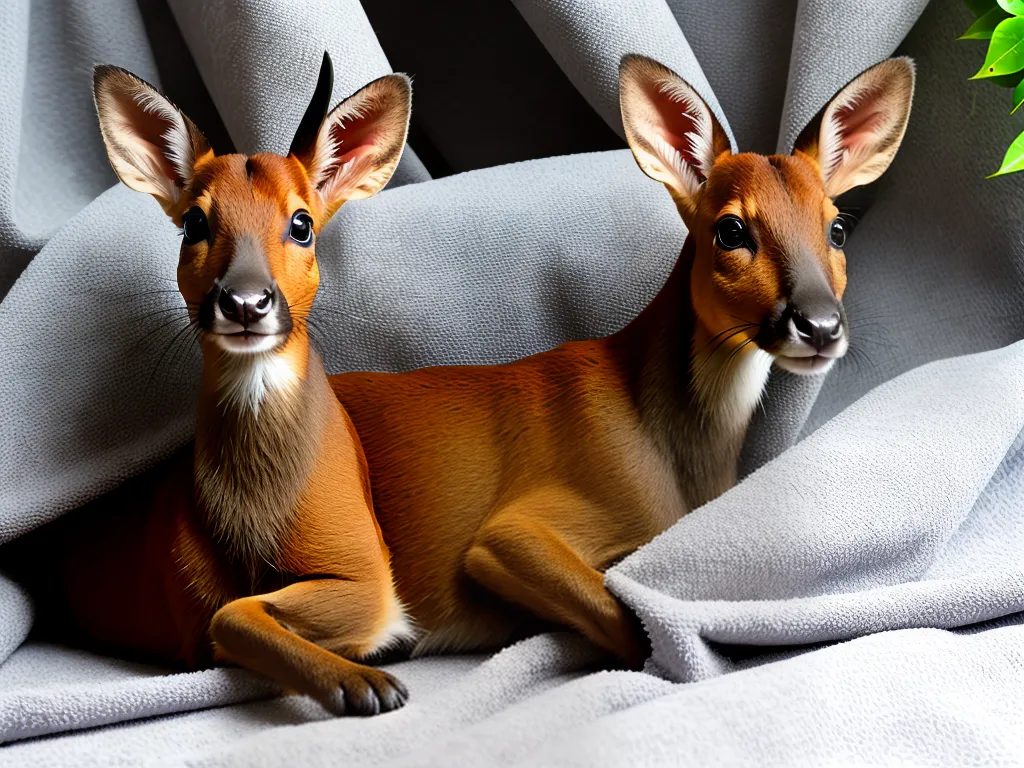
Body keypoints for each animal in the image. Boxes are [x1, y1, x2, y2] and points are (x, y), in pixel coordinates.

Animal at [3, 54, 416, 716]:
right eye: (194, 221)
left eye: (302, 222)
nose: (245, 301)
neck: (257, 515)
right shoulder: (189, 610)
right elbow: (229, 616)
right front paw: (361, 682)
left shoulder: (365, 564)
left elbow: (246, 612)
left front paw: (368, 675)